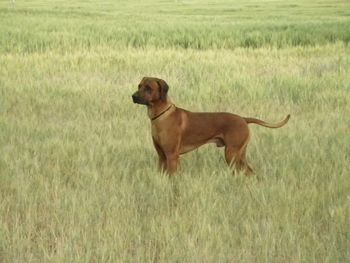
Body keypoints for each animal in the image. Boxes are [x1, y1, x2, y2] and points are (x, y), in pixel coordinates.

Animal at [132, 76, 290, 175]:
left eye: (148, 88)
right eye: (139, 86)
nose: (133, 96)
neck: (160, 116)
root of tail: (243, 119)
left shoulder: (171, 156)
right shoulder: (161, 156)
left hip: (231, 154)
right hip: (240, 155)